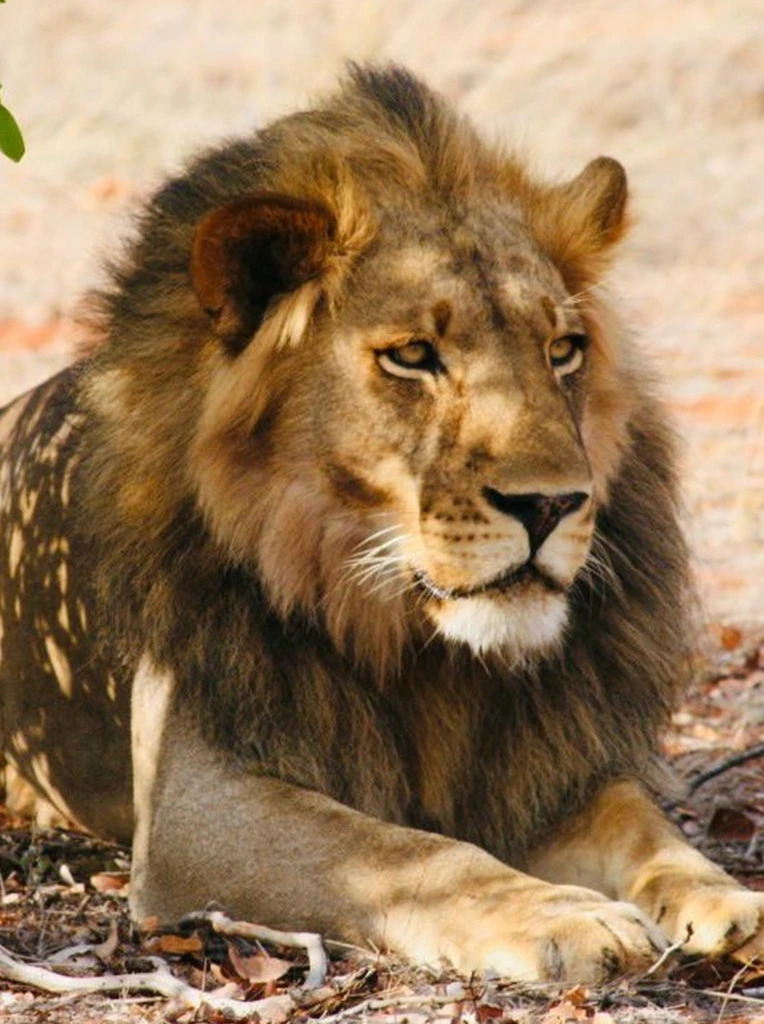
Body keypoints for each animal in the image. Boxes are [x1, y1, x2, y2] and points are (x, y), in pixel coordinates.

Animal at [0, 65, 762, 982]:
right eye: (411, 356)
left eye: (563, 350)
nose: (551, 505)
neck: (411, 641)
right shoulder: (197, 804)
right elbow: (415, 854)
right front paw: (570, 916)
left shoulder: (541, 765)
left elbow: (641, 821)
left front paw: (719, 896)